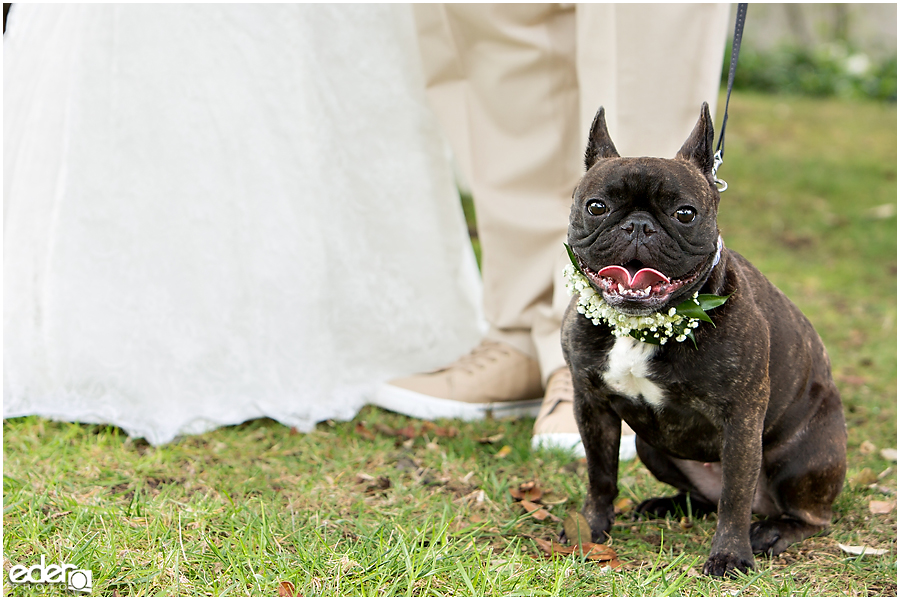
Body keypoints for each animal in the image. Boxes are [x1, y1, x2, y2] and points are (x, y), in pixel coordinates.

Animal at [568, 103, 848, 576]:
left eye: (685, 214)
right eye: (597, 206)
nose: (638, 226)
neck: (645, 326)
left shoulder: (741, 421)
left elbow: (735, 496)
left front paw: (730, 555)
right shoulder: (593, 405)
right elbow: (600, 474)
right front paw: (592, 529)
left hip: (801, 461)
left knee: (801, 514)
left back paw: (774, 531)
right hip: (649, 447)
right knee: (705, 499)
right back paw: (666, 505)